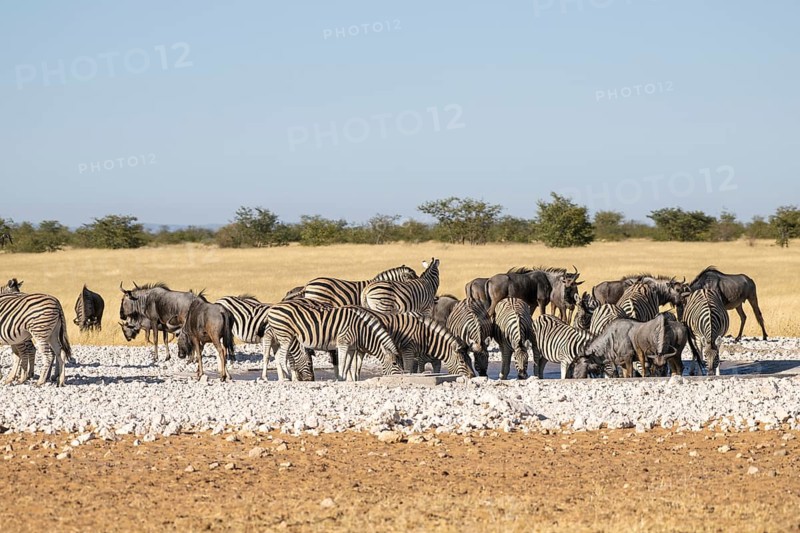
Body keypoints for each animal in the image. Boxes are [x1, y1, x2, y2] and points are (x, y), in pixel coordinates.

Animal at [264, 302, 402, 381]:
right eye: (395, 363)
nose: (401, 377)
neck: (360, 330)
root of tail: (272, 308)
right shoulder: (343, 343)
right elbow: (342, 363)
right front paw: (341, 378)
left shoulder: (351, 347)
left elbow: (348, 364)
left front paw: (345, 379)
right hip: (285, 336)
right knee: (282, 356)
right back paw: (288, 376)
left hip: (281, 337)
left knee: (279, 356)